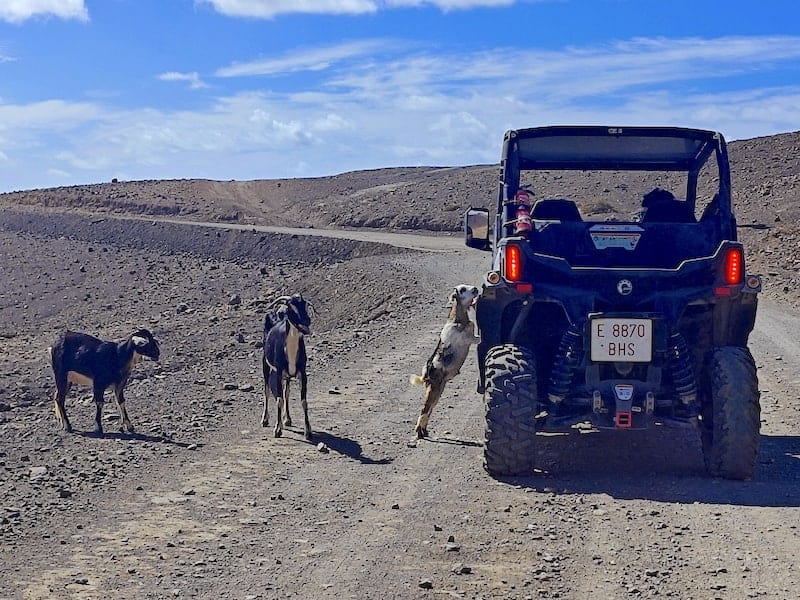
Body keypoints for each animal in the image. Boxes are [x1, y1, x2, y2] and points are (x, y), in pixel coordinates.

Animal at [262, 296, 312, 440]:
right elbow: (278, 399)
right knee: (267, 390)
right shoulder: (279, 372)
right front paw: (277, 430)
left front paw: (308, 432)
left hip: (288, 376)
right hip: (265, 363)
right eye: (291, 307)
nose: (307, 320)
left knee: (286, 392)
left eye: (305, 305)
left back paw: (287, 419)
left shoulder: (302, 373)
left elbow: (303, 401)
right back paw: (265, 420)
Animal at [410, 284, 478, 438]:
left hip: (439, 389)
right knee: (425, 409)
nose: (475, 289)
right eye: (462, 289)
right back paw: (419, 432)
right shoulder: (470, 339)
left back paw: (424, 431)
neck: (458, 321)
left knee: (430, 409)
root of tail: (426, 374)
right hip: (434, 389)